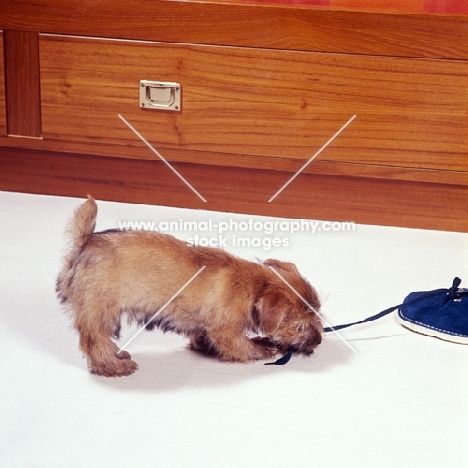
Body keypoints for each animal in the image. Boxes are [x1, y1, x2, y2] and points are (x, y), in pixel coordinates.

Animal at [56, 197, 322, 376]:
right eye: (299, 327)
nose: (319, 340)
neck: (253, 286)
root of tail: (86, 243)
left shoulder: (205, 327)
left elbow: (203, 338)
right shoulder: (225, 331)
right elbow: (241, 345)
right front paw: (261, 348)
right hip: (101, 311)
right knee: (95, 342)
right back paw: (112, 365)